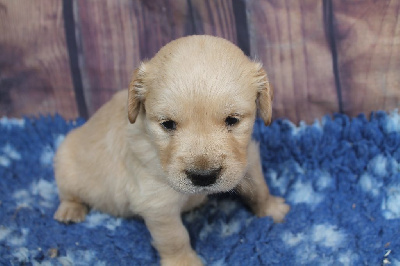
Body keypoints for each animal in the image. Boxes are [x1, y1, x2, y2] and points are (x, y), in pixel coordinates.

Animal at [54, 35, 290, 266]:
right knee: (68, 194)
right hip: (65, 162)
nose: (204, 177)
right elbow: (175, 238)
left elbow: (259, 188)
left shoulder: (247, 157)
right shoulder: (157, 203)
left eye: (232, 120)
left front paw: (272, 209)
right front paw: (184, 262)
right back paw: (70, 211)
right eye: (167, 124)